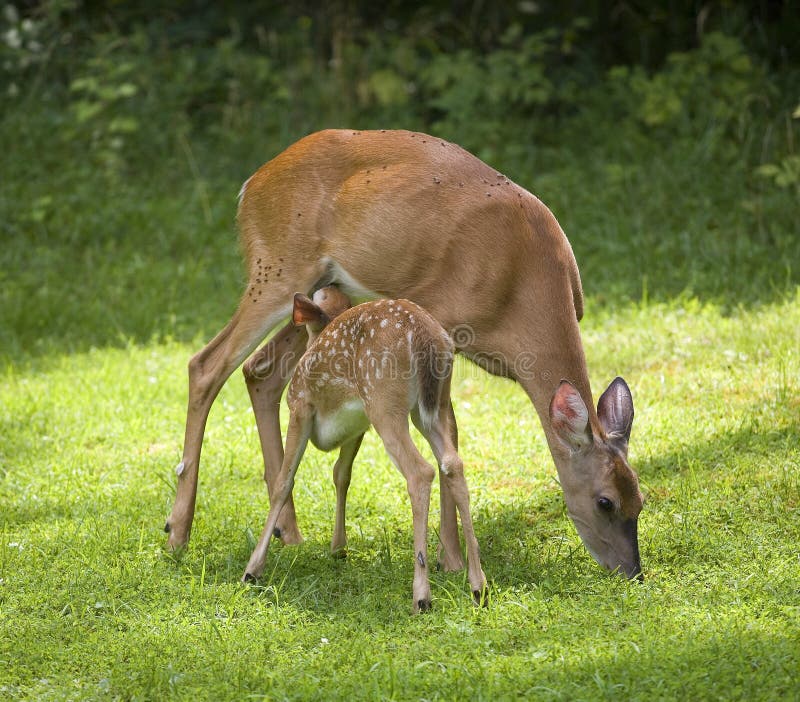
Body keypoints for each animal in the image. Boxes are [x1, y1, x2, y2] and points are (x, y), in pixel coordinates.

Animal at [241, 286, 487, 611]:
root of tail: (426, 336)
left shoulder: (300, 406)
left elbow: (284, 481)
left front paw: (253, 568)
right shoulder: (358, 425)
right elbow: (341, 474)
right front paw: (338, 548)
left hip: (383, 401)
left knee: (421, 471)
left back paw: (421, 596)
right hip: (430, 407)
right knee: (453, 463)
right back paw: (478, 586)